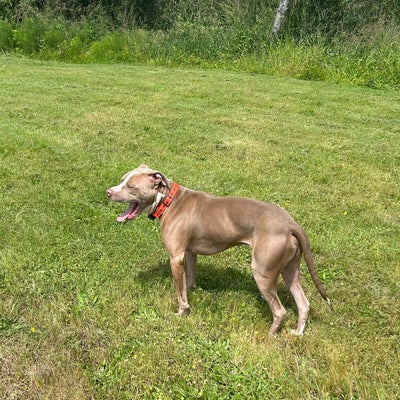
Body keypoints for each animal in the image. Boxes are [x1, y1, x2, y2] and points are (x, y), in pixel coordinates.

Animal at [108, 164, 330, 336]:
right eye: (121, 180)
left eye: (131, 186)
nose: (108, 192)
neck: (169, 201)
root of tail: (290, 223)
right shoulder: (189, 253)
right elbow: (190, 277)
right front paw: (192, 291)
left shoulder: (175, 257)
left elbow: (179, 292)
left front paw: (182, 312)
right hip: (289, 267)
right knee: (303, 303)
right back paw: (297, 333)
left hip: (263, 271)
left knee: (280, 310)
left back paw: (270, 335)